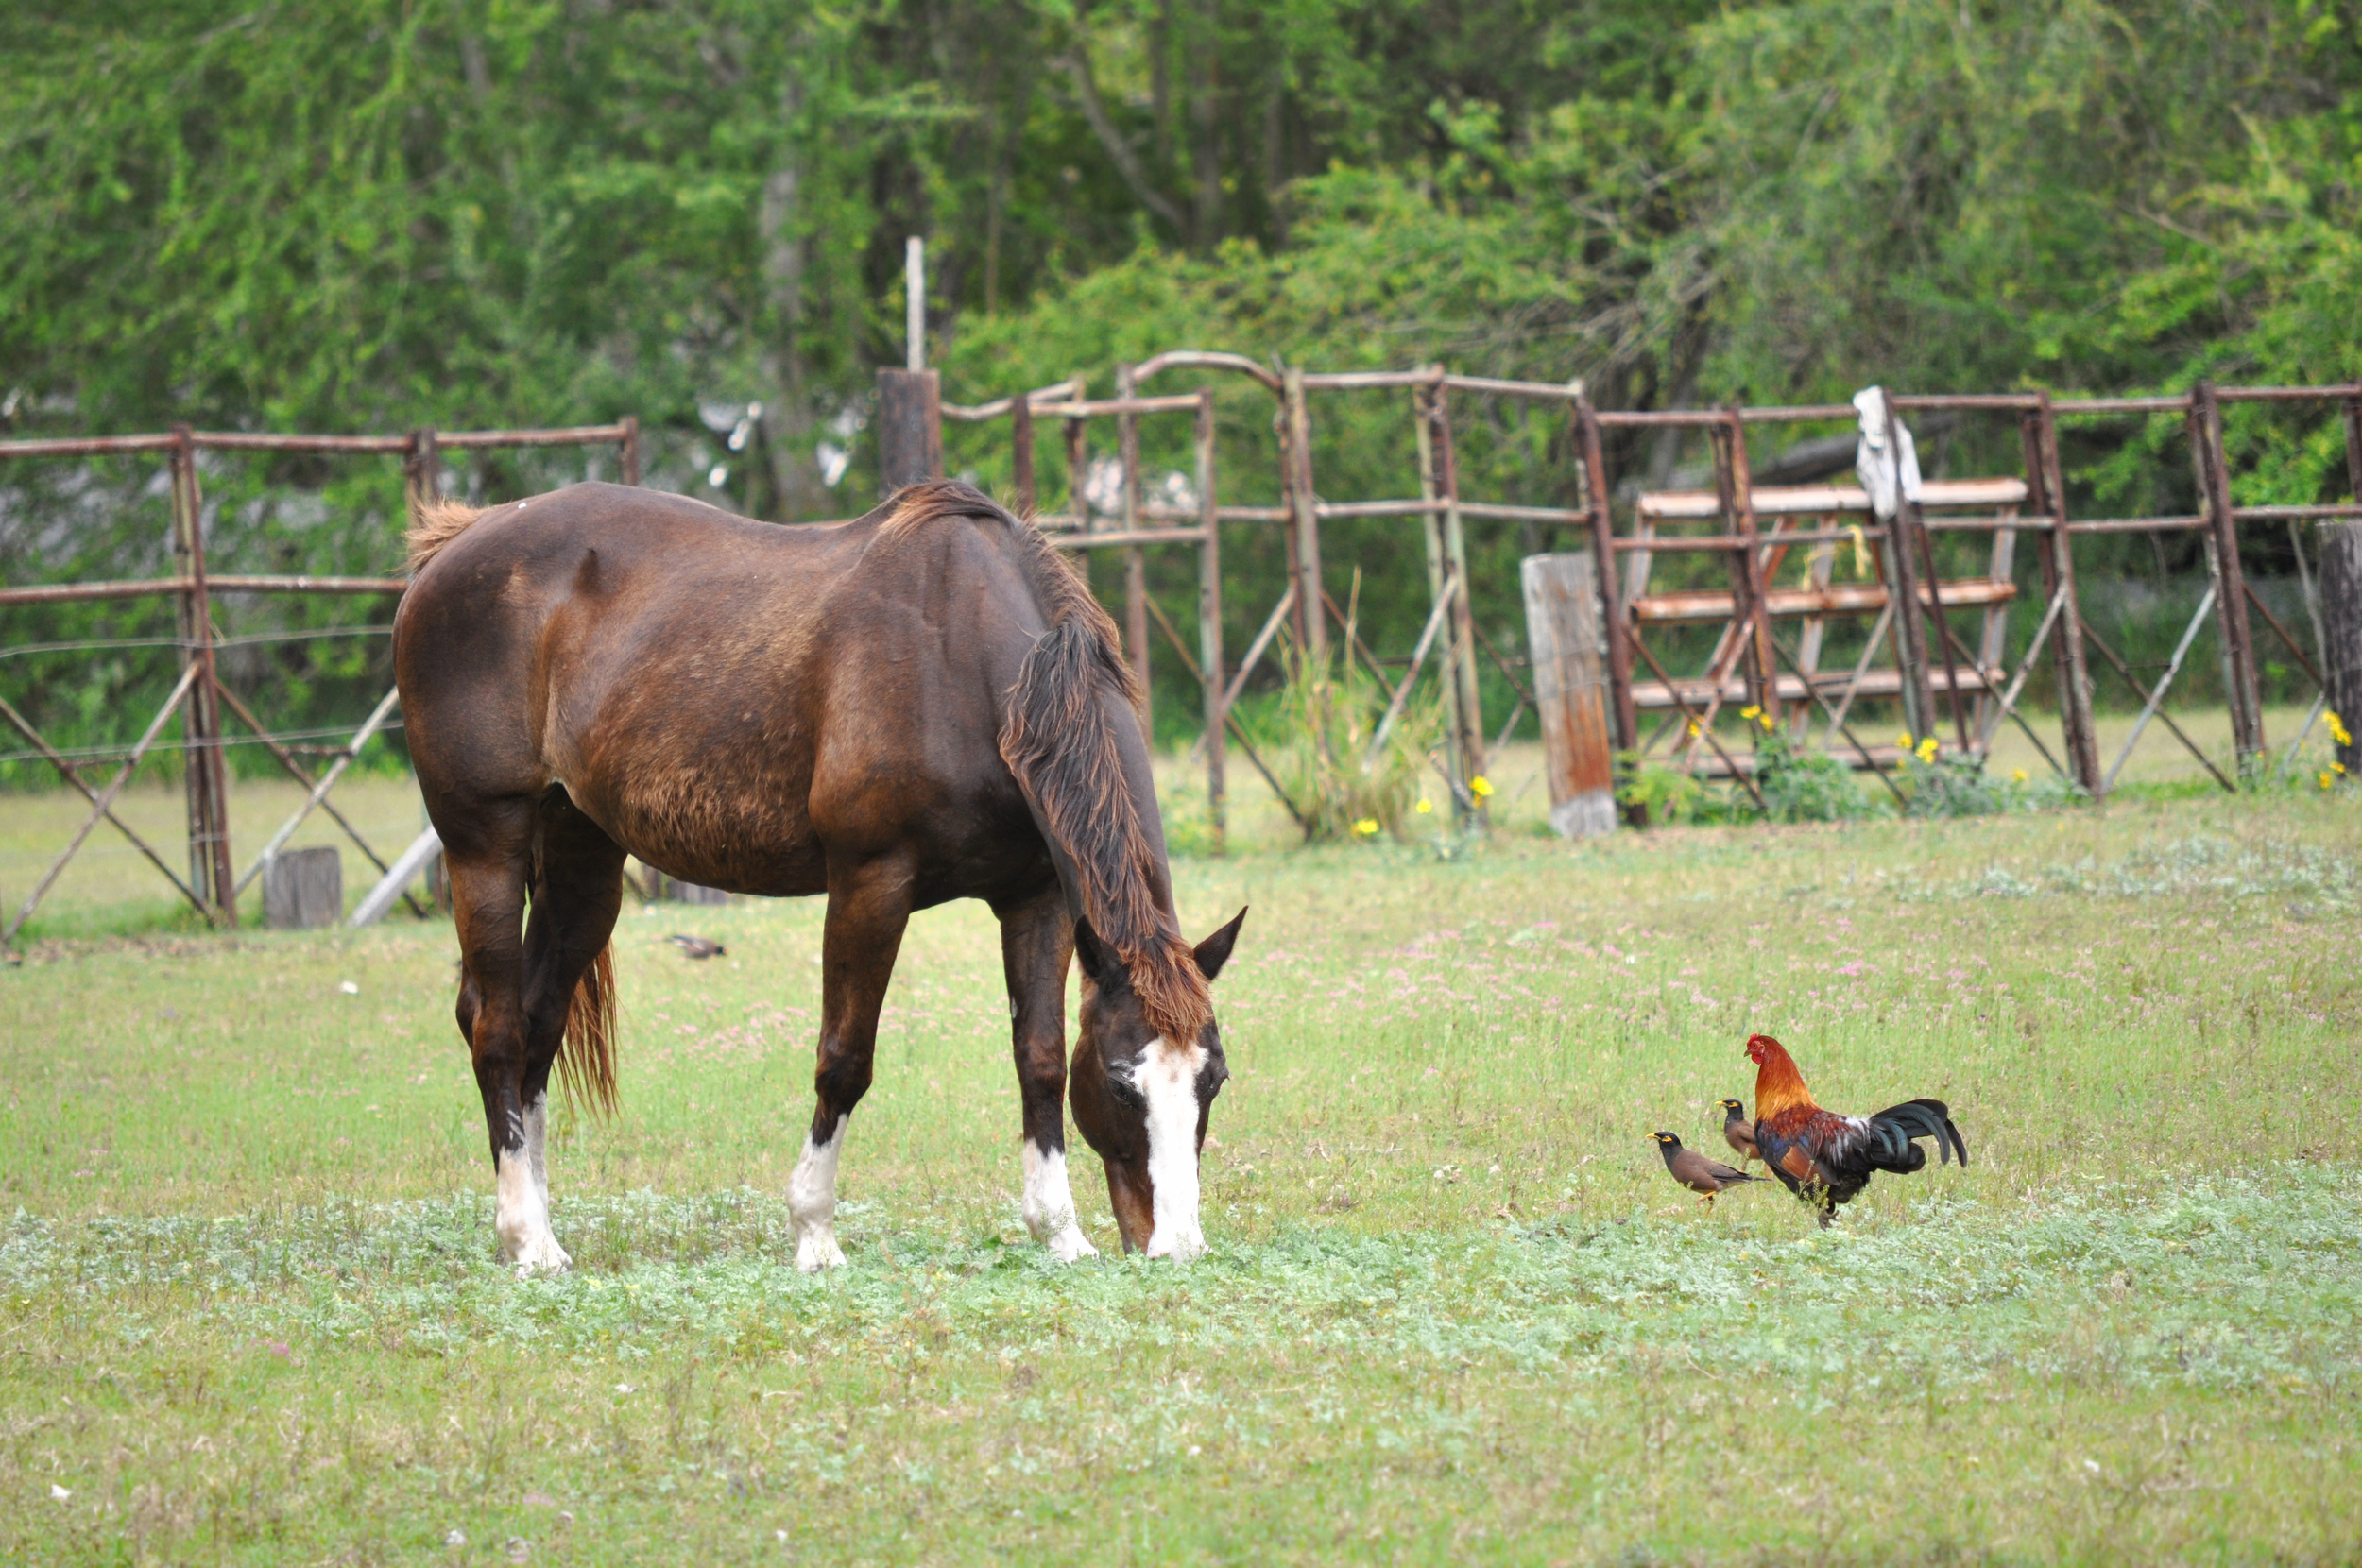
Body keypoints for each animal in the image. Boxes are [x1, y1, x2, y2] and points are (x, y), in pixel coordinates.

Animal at [397, 477, 1247, 1275]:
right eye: (1120, 1083)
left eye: (1214, 1082)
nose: (1176, 1245)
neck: (969, 665)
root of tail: (455, 543)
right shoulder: (871, 884)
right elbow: (845, 1059)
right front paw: (814, 1232)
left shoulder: (1035, 900)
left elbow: (1035, 1057)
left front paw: (1060, 1233)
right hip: (487, 844)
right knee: (497, 1028)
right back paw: (527, 1238)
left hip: (584, 861)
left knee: (537, 1024)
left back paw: (539, 1230)